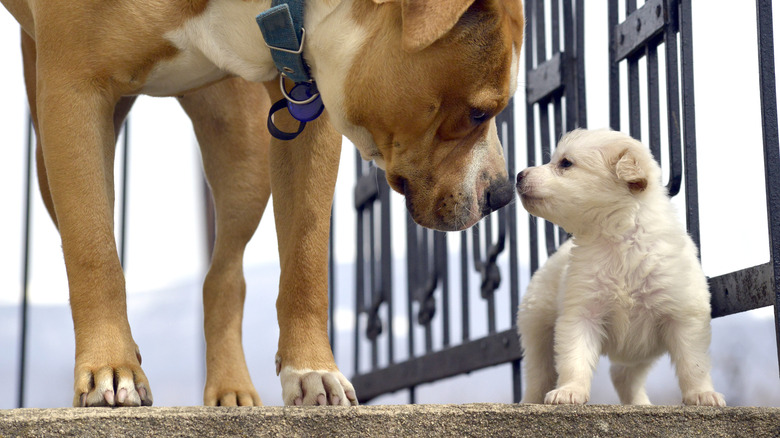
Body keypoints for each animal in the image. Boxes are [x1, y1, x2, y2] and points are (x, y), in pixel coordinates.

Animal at [1, 0, 524, 408]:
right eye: (478, 112)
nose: (502, 193)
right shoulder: (73, 93)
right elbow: (93, 249)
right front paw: (112, 365)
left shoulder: (306, 96)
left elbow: (306, 253)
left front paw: (312, 370)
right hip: (52, 153)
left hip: (241, 151)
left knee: (224, 274)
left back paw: (230, 387)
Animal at [516, 127, 724, 408]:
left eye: (566, 163)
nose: (519, 175)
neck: (618, 239)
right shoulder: (581, 312)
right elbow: (574, 358)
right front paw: (570, 391)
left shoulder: (684, 316)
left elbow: (694, 363)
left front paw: (702, 394)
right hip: (536, 325)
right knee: (539, 373)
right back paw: (530, 400)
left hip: (641, 350)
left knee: (623, 375)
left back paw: (641, 404)